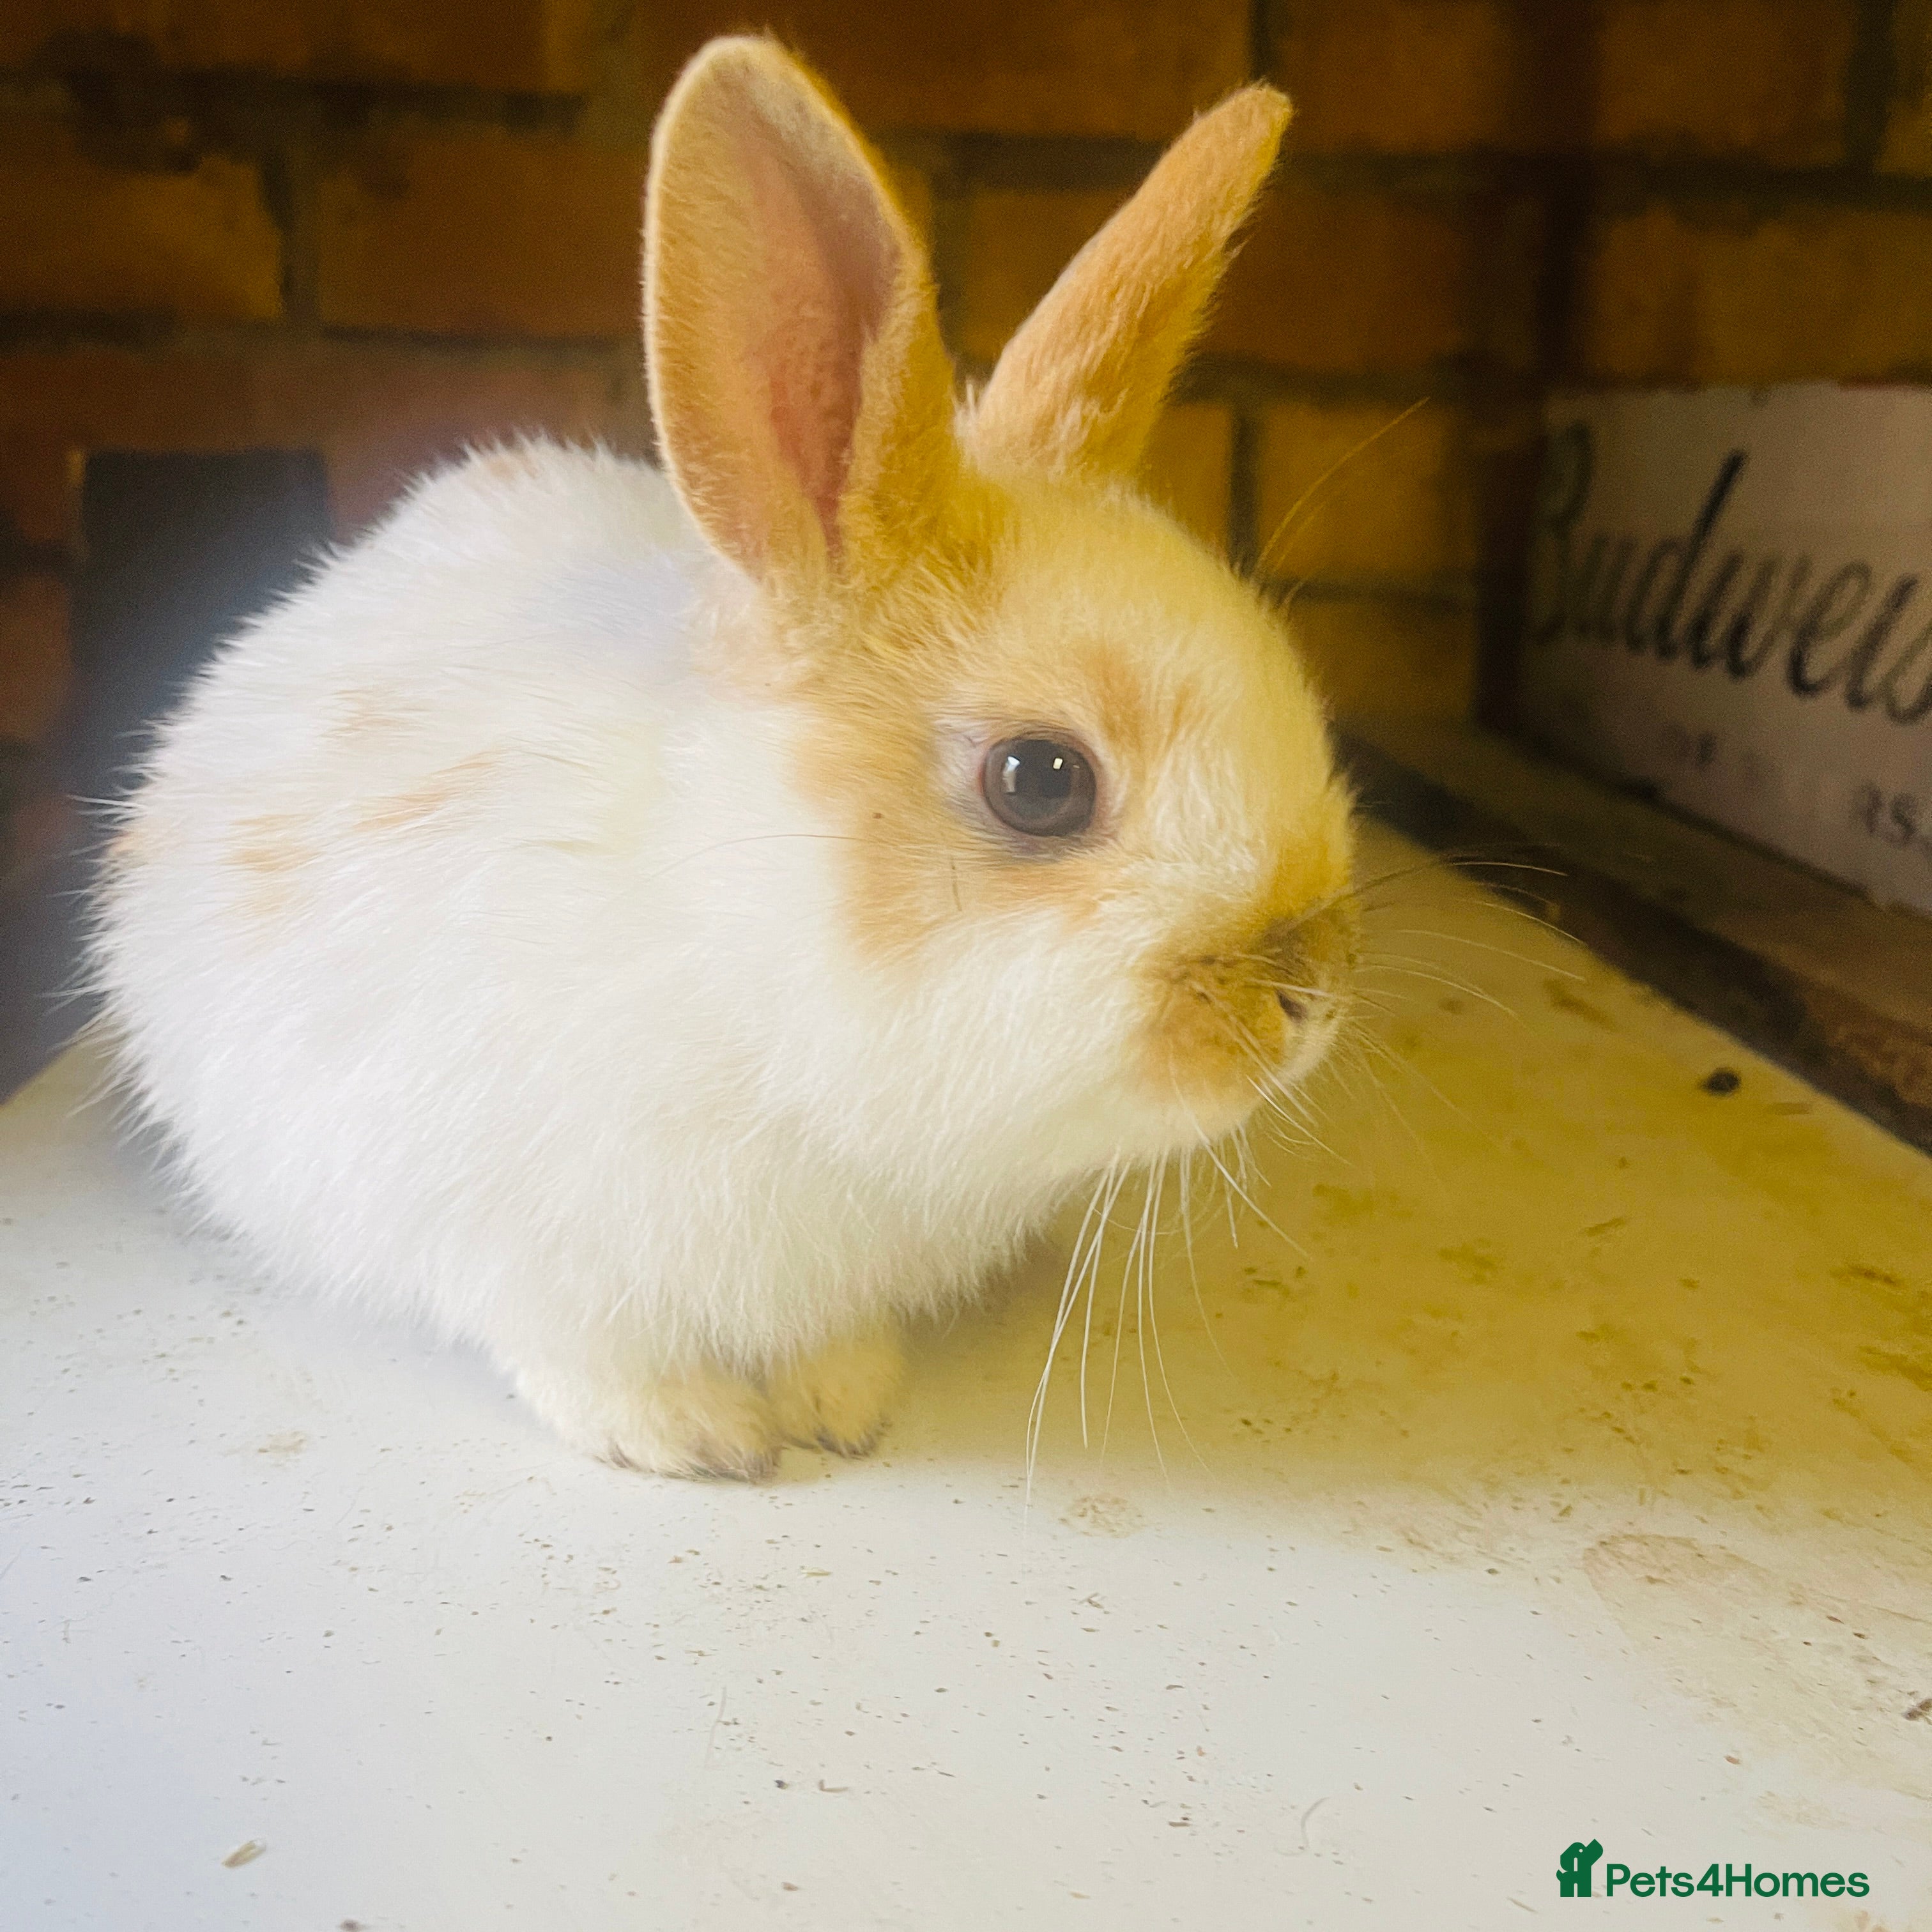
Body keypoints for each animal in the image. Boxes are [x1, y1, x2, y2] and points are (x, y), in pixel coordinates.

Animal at [88, 37, 1359, 1479]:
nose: (1311, 998)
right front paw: (695, 1440)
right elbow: (583, 1356)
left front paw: (838, 1406)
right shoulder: (508, 1235)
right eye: (1041, 781)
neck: (739, 937)